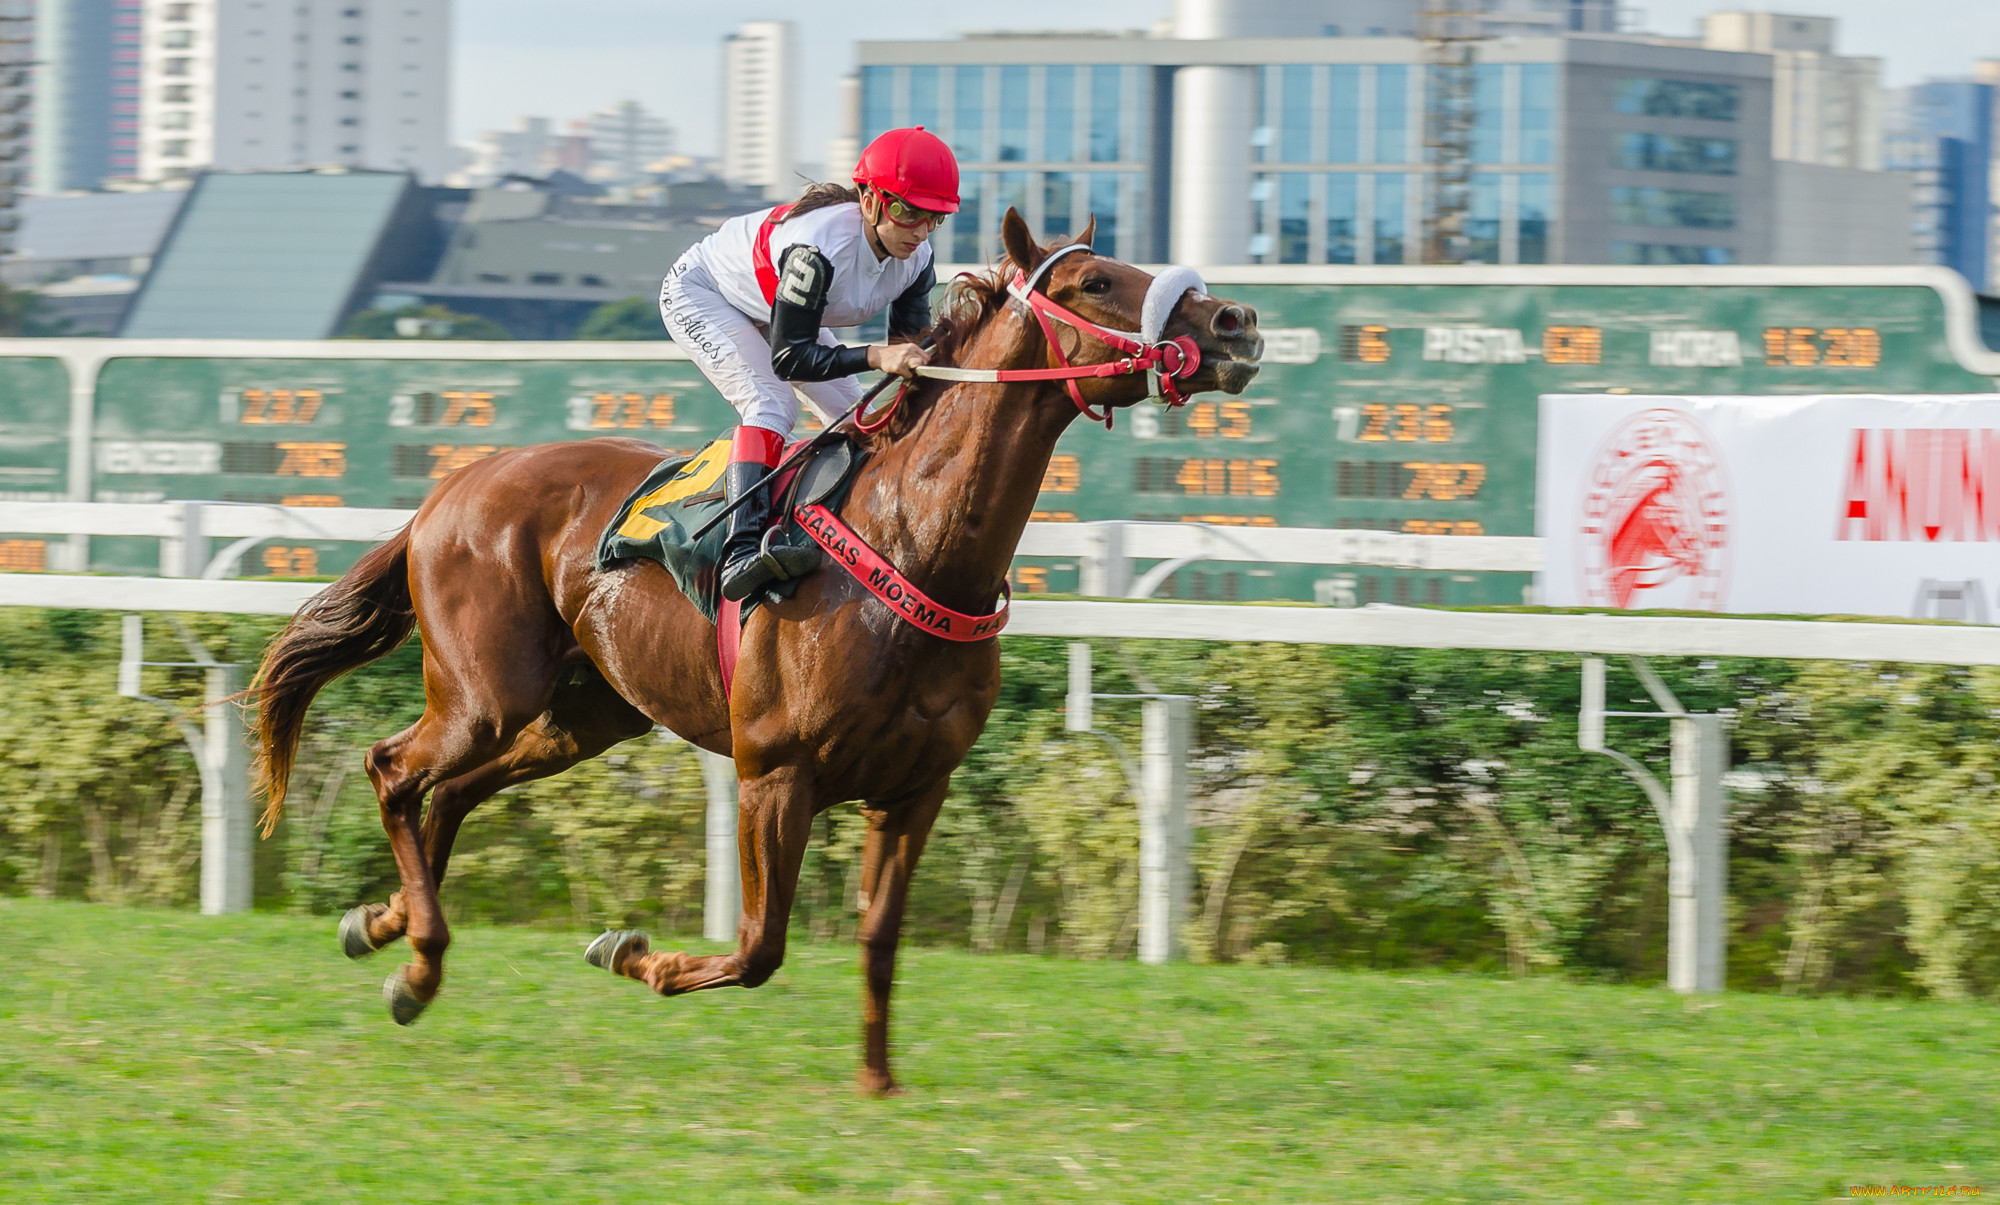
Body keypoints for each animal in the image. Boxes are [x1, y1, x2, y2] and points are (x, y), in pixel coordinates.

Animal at [242, 209, 1256, 1088]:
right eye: (1095, 282)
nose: (1235, 321)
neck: (913, 544)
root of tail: (449, 491)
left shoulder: (914, 788)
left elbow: (879, 940)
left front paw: (878, 1082)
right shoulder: (775, 771)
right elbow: (761, 945)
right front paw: (633, 954)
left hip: (583, 715)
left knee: (447, 790)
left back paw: (386, 922)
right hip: (487, 692)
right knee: (393, 768)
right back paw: (418, 962)